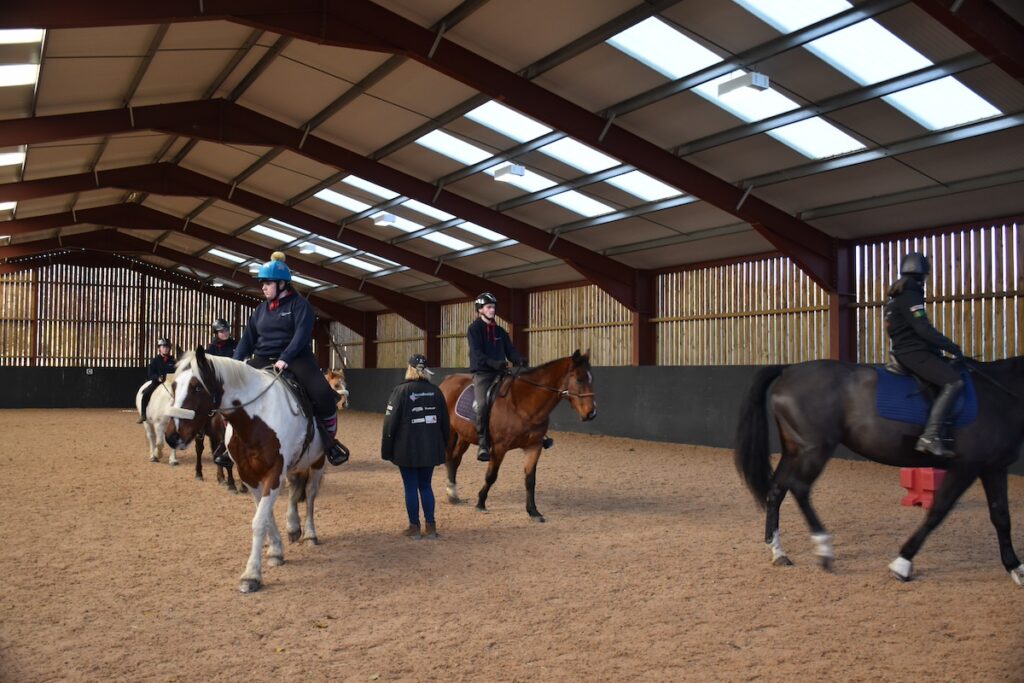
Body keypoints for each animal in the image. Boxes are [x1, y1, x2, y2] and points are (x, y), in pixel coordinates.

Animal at [164, 348, 327, 593]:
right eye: (174, 386)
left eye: (197, 387)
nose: (171, 436)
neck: (255, 420)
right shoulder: (249, 475)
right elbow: (265, 515)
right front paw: (275, 550)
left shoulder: (273, 473)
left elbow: (259, 521)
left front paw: (251, 575)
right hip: (294, 465)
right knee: (295, 490)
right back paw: (293, 527)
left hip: (317, 462)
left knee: (309, 495)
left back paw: (309, 534)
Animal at [438, 350, 598, 520]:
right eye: (579, 379)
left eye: (591, 379)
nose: (592, 413)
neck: (522, 405)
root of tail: (447, 381)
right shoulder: (499, 447)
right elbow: (491, 476)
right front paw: (481, 503)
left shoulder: (534, 446)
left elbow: (530, 480)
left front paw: (533, 511)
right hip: (450, 433)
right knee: (448, 457)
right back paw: (451, 493)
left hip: (464, 436)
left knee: (454, 460)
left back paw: (453, 495)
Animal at [737, 358, 1024, 589]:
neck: (1001, 396)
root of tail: (788, 369)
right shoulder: (966, 467)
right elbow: (937, 512)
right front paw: (902, 563)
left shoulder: (993, 467)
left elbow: (1001, 516)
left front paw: (1015, 568)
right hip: (814, 449)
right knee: (800, 488)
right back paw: (824, 548)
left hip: (794, 450)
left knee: (777, 490)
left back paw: (778, 552)